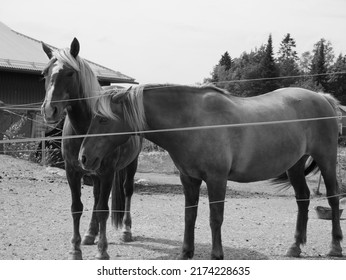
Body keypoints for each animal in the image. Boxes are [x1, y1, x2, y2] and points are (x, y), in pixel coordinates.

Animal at [41, 38, 142, 260]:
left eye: (70, 73)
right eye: (45, 73)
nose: (49, 110)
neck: (86, 127)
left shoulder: (107, 173)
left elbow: (103, 209)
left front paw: (103, 250)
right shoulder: (72, 171)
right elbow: (77, 208)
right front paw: (75, 249)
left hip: (131, 164)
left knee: (127, 191)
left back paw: (126, 231)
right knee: (96, 198)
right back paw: (90, 234)